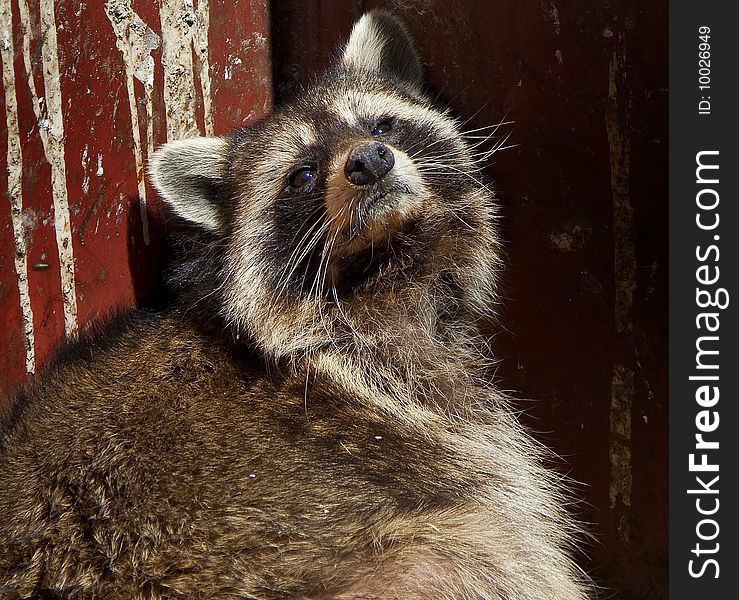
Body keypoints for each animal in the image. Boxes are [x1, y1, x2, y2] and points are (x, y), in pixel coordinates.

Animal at [0, 10, 588, 600]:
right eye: (301, 175)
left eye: (382, 127)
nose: (371, 161)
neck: (383, 271)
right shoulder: (429, 417)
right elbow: (508, 516)